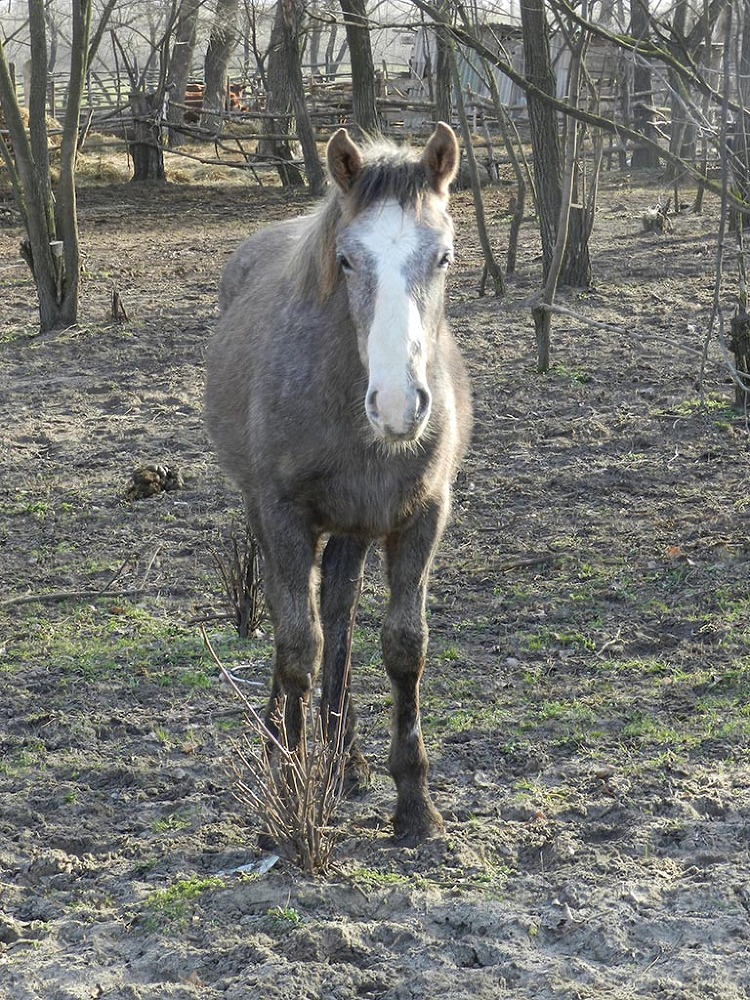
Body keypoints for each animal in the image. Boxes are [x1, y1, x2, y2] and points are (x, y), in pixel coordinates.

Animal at [204, 125, 476, 844]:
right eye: (348, 261)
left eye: (443, 257)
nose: (397, 405)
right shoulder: (285, 516)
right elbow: (298, 646)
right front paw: (287, 797)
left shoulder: (421, 517)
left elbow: (403, 647)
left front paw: (414, 804)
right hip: (268, 514)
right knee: (294, 619)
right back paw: (286, 747)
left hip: (353, 527)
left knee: (340, 612)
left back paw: (345, 760)